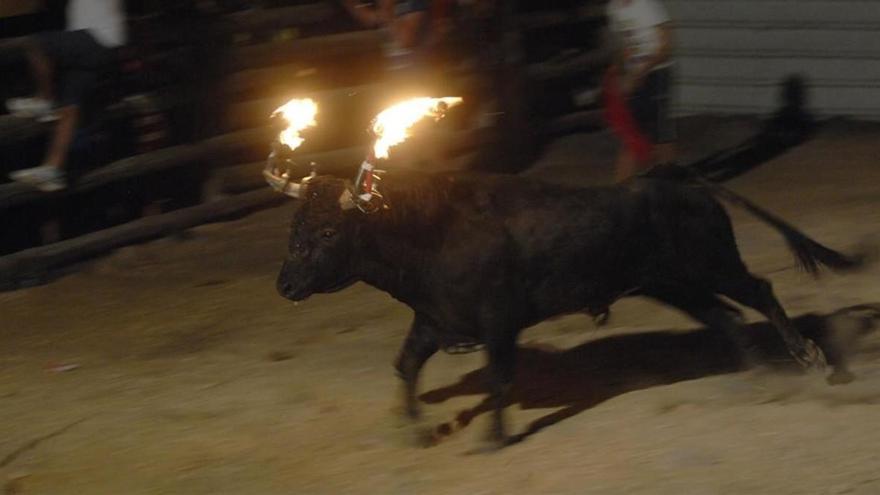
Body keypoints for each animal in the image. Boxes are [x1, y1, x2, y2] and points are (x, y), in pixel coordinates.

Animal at [274, 168, 860, 450]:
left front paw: (492, 439)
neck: (428, 232)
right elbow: (407, 366)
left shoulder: (498, 321)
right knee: (727, 318)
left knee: (759, 292)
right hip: (672, 285)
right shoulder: (435, 320)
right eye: (294, 228)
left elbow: (499, 376)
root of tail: (679, 182)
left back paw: (810, 360)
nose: (284, 283)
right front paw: (414, 430)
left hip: (713, 265)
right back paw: (757, 374)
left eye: (327, 232)